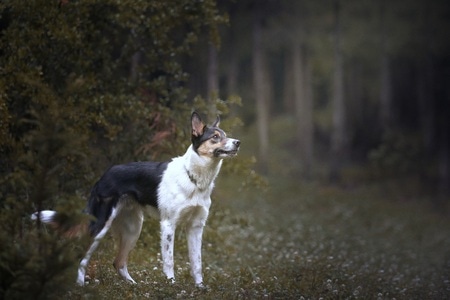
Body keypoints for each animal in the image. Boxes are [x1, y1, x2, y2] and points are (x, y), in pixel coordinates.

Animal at [31, 112, 239, 286]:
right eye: (215, 137)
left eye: (225, 135)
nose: (237, 142)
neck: (194, 179)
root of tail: (103, 176)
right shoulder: (168, 224)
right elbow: (169, 261)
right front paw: (171, 286)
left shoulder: (196, 227)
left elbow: (197, 263)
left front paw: (200, 288)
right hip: (101, 225)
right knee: (83, 257)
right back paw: (81, 285)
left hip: (133, 229)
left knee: (118, 262)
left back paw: (133, 286)